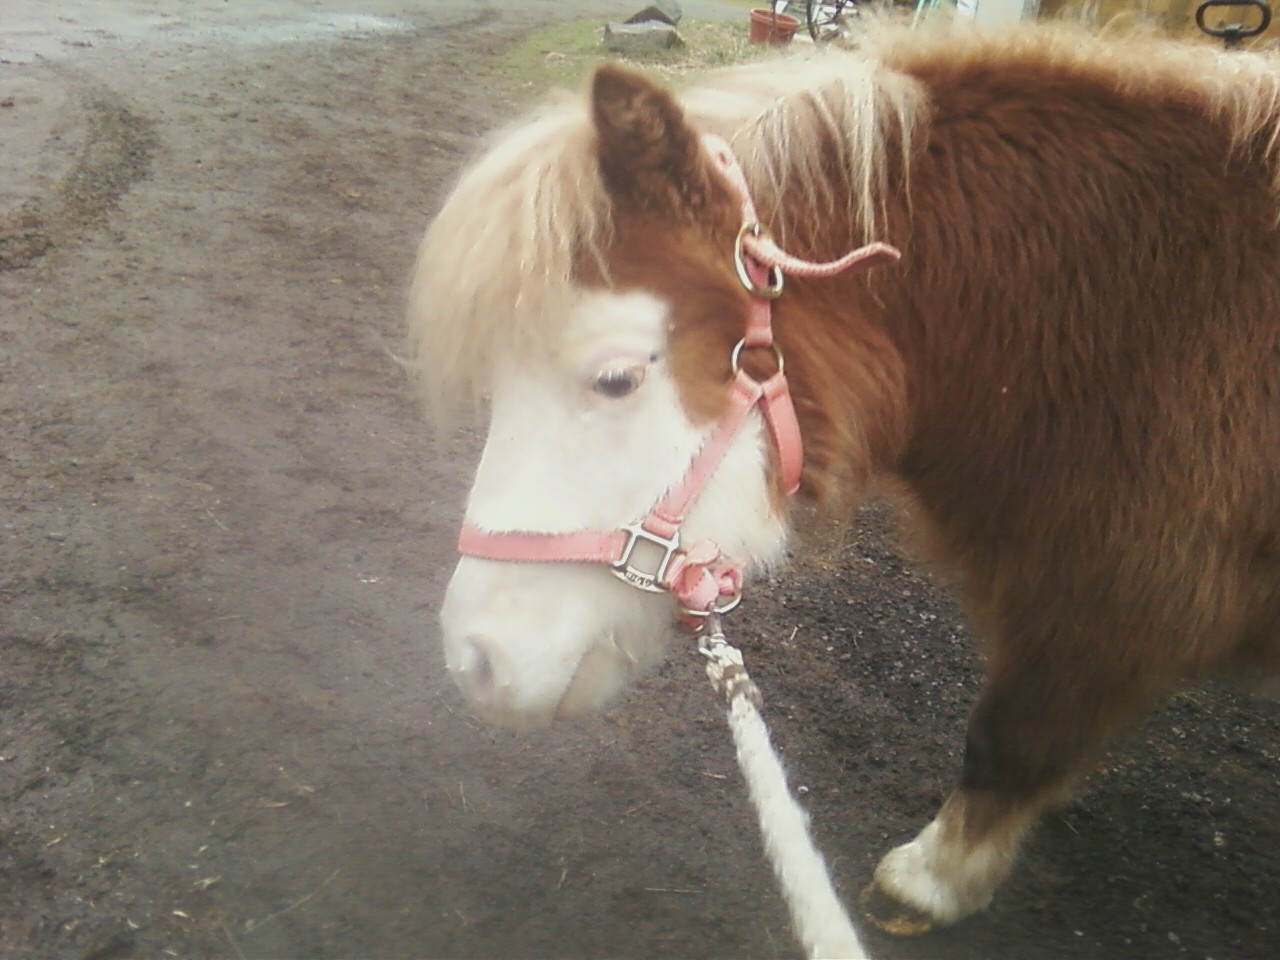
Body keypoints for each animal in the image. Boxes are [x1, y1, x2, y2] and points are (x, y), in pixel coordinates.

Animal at [408, 21, 1280, 935]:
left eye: (616, 378)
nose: (475, 663)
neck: (1142, 326)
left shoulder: (1111, 600)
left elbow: (1009, 738)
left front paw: (933, 878)